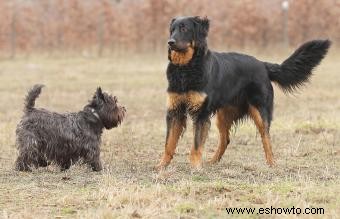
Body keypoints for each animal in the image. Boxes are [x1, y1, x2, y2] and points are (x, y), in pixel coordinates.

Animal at [156, 16, 330, 170]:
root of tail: (263, 65)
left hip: (260, 111)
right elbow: (168, 143)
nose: (170, 42)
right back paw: (212, 161)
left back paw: (272, 163)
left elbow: (196, 144)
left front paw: (195, 167)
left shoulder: (201, 114)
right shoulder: (174, 111)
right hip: (224, 114)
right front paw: (162, 166)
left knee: (266, 137)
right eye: (172, 30)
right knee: (225, 139)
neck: (186, 68)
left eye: (184, 29)